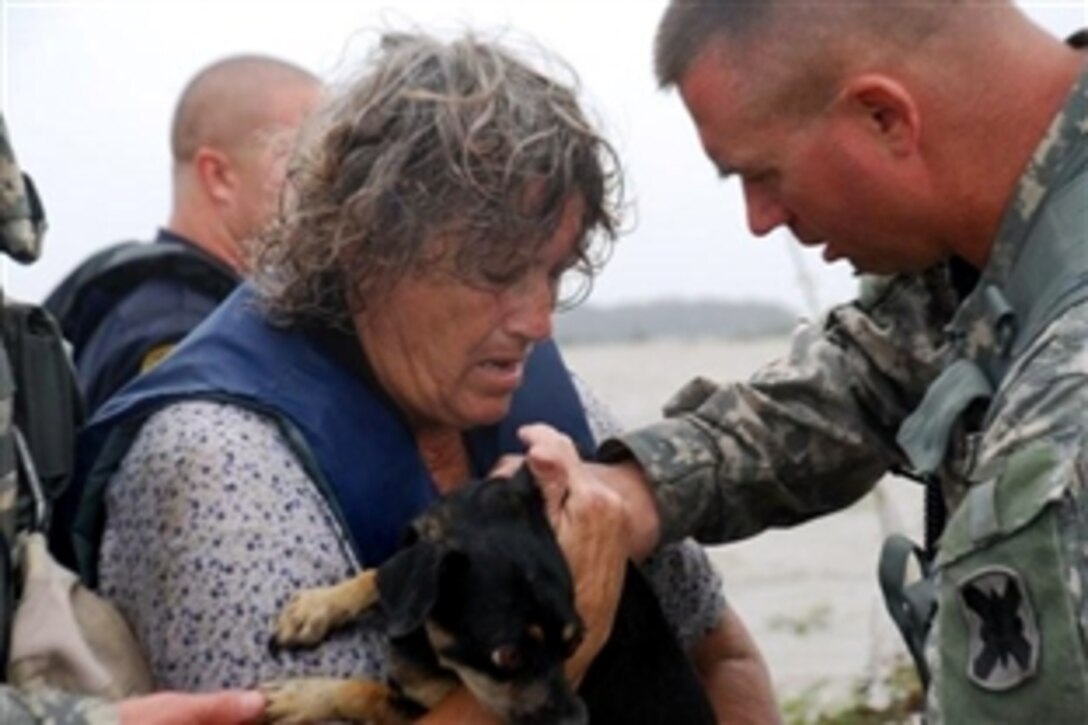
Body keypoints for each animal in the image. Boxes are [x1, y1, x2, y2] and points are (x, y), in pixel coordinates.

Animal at [260, 465, 718, 718]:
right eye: (508, 655)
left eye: (576, 646)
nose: (576, 719)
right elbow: (381, 573)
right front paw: (318, 606)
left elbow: (367, 692)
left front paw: (302, 698)